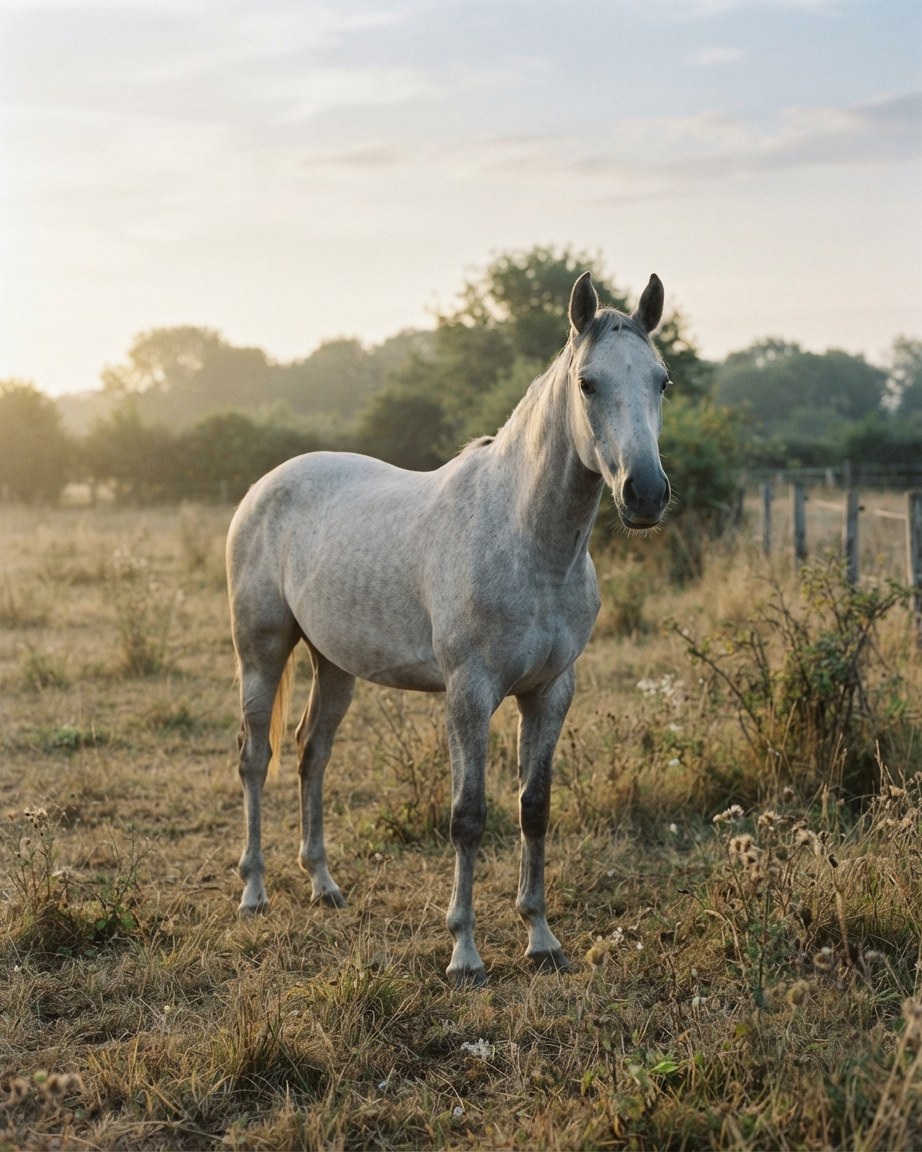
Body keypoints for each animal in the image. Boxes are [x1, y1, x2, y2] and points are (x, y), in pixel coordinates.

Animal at [226, 271, 671, 985]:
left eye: (661, 380)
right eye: (587, 383)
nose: (646, 494)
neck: (527, 541)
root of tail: (265, 485)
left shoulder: (551, 692)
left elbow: (534, 807)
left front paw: (541, 939)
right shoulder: (470, 694)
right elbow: (468, 816)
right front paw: (464, 953)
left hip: (334, 665)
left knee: (311, 753)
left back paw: (323, 884)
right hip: (261, 653)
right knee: (255, 758)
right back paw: (254, 891)